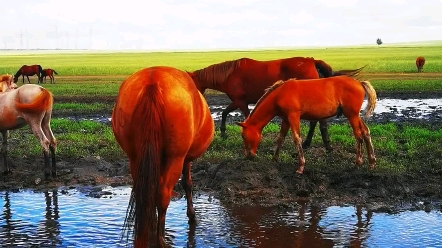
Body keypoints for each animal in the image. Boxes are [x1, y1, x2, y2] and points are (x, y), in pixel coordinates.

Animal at [113, 65, 215, 246]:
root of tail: (152, 82)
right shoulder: (185, 160)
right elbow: (187, 184)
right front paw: (192, 216)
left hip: (135, 158)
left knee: (145, 193)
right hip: (175, 159)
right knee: (163, 195)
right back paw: (160, 239)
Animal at [188, 56, 364, 151]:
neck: (230, 75)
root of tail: (312, 61)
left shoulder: (240, 102)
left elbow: (240, 115)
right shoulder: (238, 102)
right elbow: (225, 112)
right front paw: (224, 133)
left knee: (317, 122)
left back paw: (314, 144)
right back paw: (318, 144)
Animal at [238, 75, 376, 174]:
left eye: (243, 136)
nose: (247, 156)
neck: (279, 94)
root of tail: (359, 83)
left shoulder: (293, 117)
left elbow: (296, 138)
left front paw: (301, 166)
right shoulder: (286, 119)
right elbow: (281, 138)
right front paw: (274, 159)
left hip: (352, 115)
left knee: (358, 135)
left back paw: (358, 163)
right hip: (355, 116)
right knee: (366, 132)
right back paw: (371, 162)